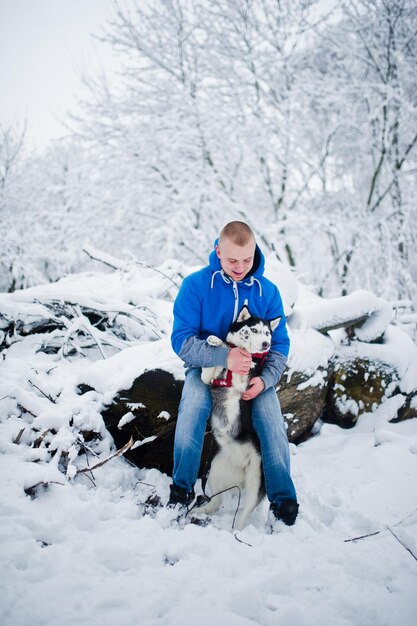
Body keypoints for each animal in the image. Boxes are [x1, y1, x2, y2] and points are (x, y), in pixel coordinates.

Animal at [195, 304, 280, 528]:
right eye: (254, 329)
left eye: (267, 333)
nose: (266, 344)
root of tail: (241, 466)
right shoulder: (208, 379)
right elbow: (214, 364)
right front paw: (217, 342)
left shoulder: (246, 385)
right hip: (215, 469)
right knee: (216, 502)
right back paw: (198, 511)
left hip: (256, 479)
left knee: (245, 513)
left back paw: (235, 530)